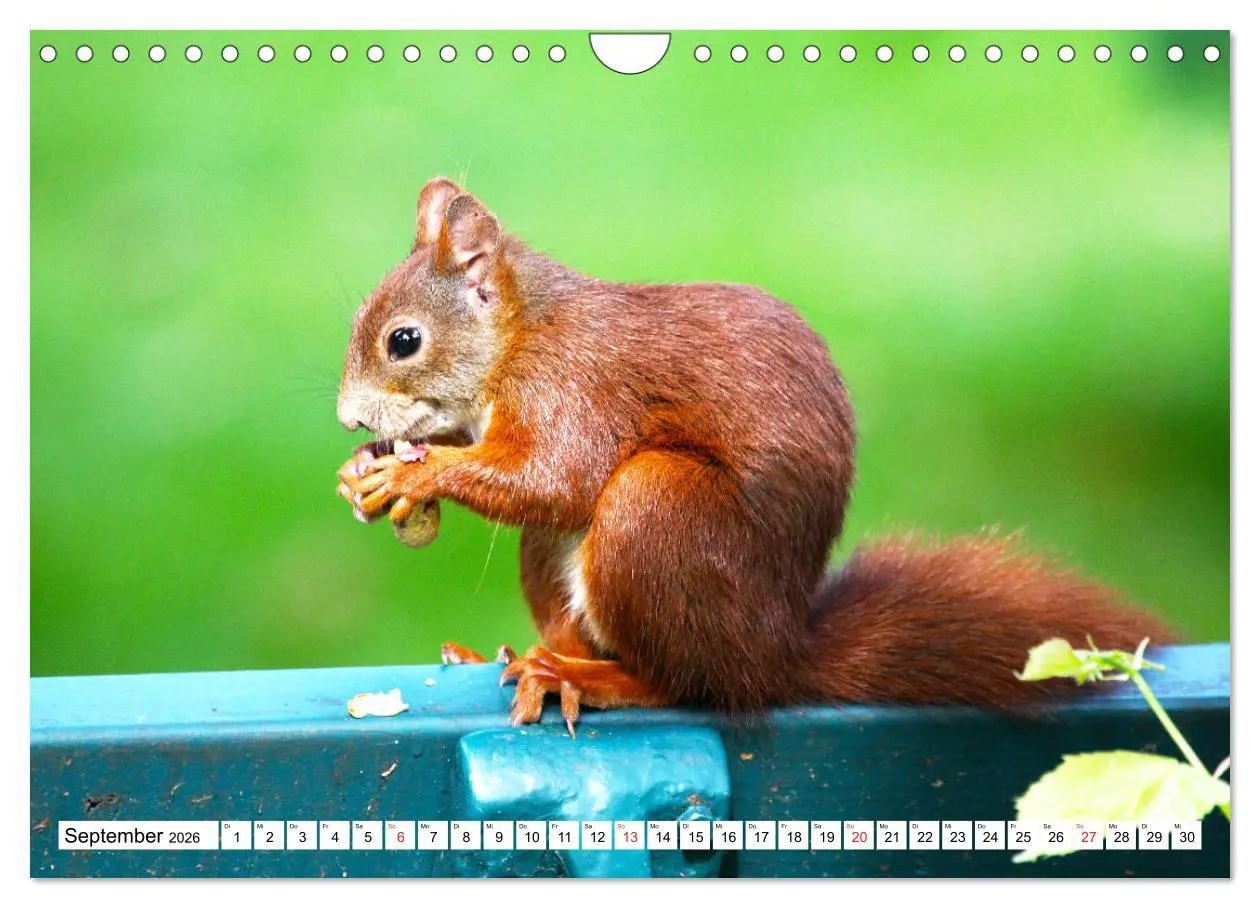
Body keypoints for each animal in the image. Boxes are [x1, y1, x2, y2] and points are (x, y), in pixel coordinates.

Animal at [336, 176, 1173, 734]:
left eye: (403, 340)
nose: (347, 416)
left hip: (656, 509)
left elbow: (555, 479)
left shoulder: (574, 386)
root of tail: (774, 653)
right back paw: (520, 655)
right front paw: (363, 470)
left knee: (692, 686)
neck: (519, 335)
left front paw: (416, 470)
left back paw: (583, 675)